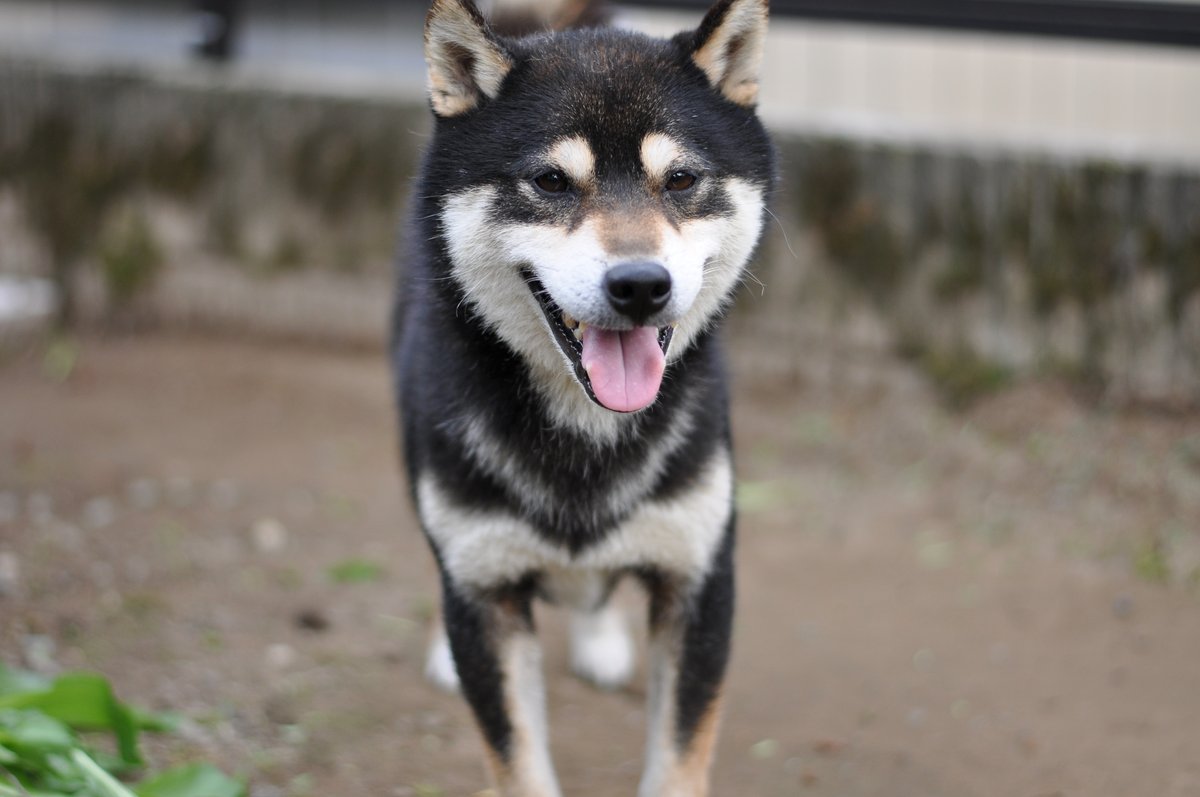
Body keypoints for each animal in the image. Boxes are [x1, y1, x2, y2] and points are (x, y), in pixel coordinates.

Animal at [388, 0, 772, 792]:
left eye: (680, 179)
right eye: (550, 181)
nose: (640, 284)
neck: (587, 432)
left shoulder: (700, 581)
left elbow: (679, 760)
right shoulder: (485, 593)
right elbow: (518, 759)